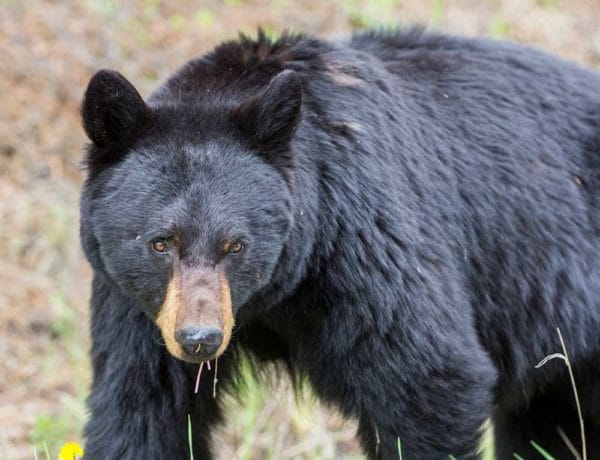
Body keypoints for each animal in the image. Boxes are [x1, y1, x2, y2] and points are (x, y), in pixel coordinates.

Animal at [81, 29, 600, 460]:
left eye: (236, 246)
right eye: (160, 243)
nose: (199, 339)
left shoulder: (364, 242)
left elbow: (428, 380)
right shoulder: (137, 305)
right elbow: (140, 406)